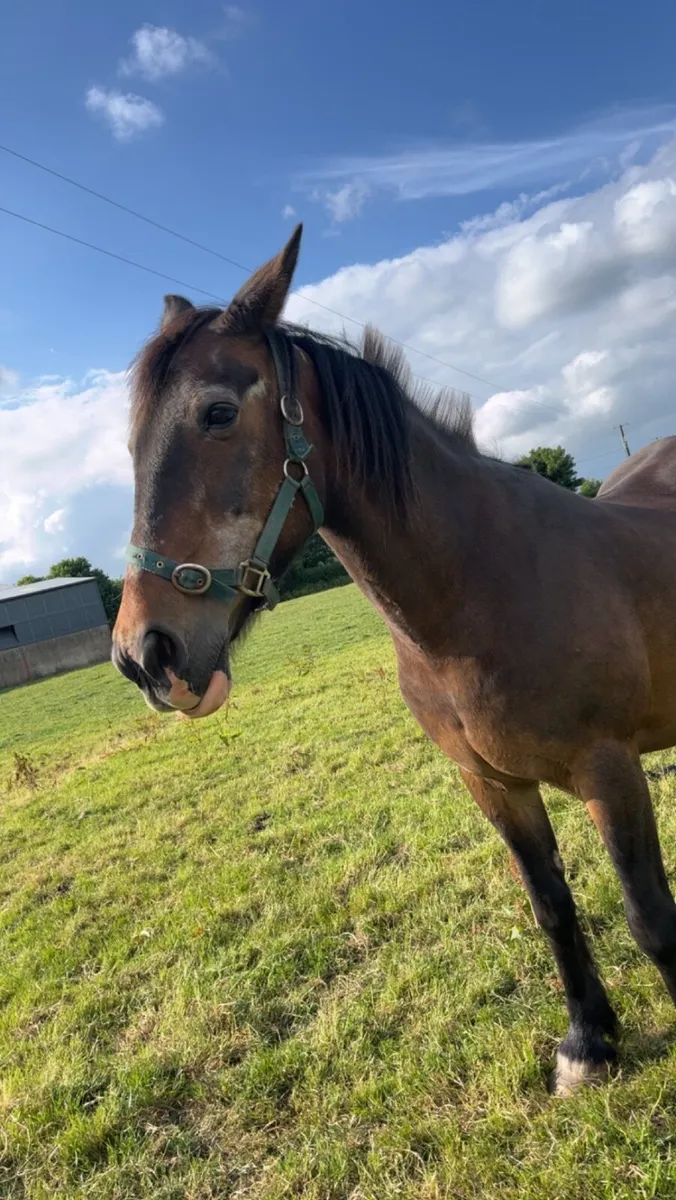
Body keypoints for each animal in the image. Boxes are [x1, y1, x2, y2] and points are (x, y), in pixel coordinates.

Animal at [113, 225, 676, 1096]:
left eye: (217, 413)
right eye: (133, 438)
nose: (147, 654)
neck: (484, 589)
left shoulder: (609, 771)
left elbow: (650, 918)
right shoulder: (492, 784)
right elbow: (551, 906)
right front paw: (590, 1041)